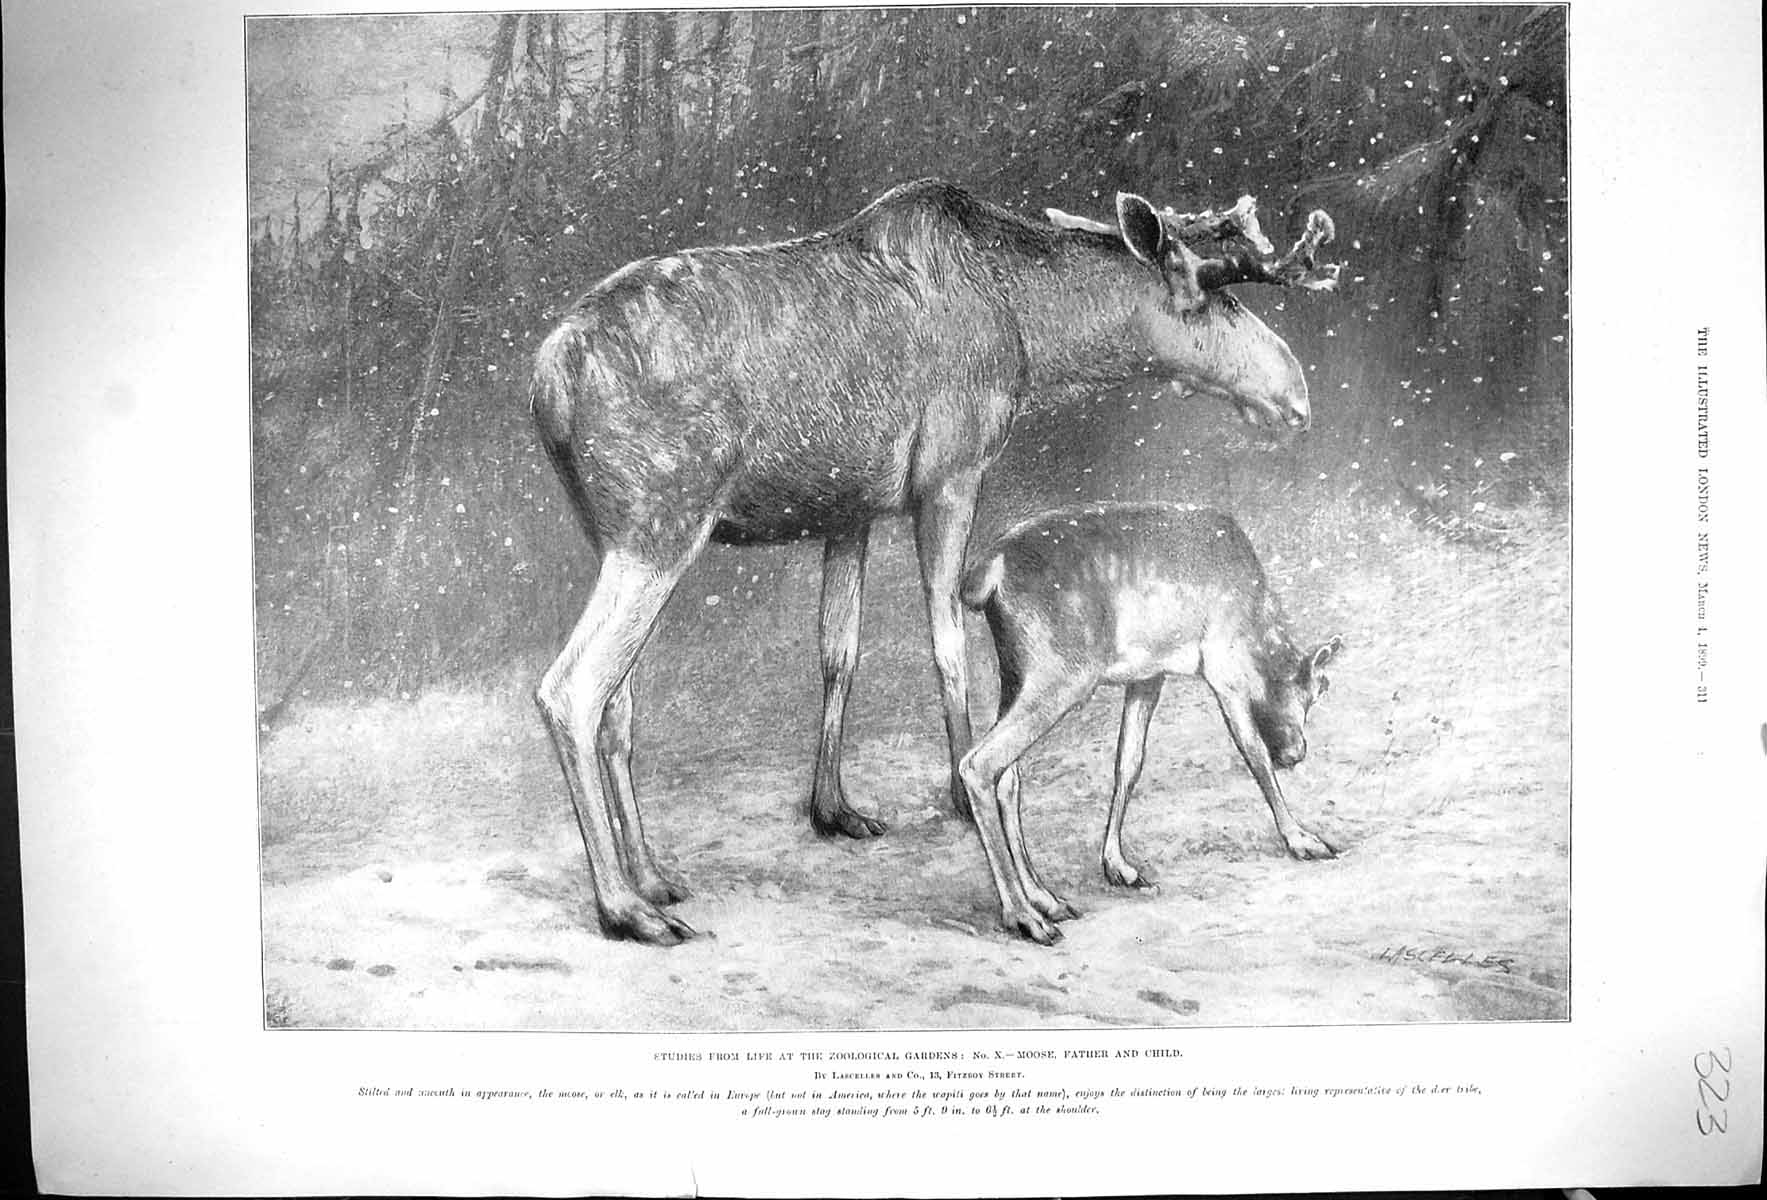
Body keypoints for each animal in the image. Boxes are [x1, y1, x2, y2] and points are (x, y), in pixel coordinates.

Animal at [957, 502, 1343, 944]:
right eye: (1315, 691)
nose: (1297, 752)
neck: (1259, 633)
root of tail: (986, 574)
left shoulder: (1148, 675)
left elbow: (1128, 763)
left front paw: (1118, 865)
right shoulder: (1223, 666)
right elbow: (1253, 754)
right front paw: (1304, 840)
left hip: (1015, 671)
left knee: (1009, 775)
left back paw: (1045, 898)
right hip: (1062, 673)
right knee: (979, 763)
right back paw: (1024, 917)